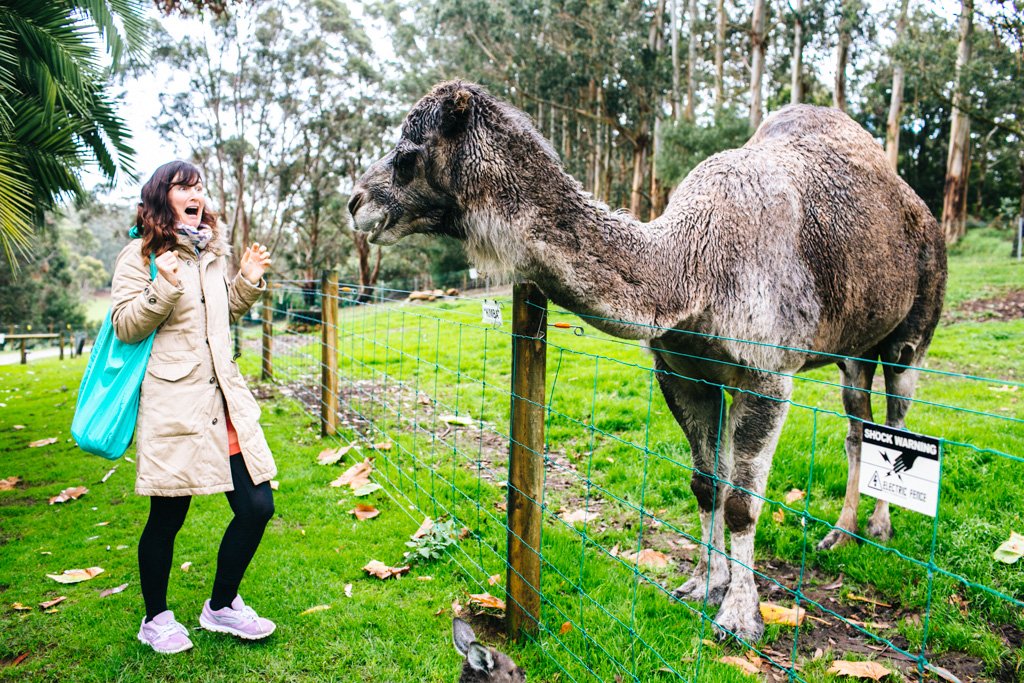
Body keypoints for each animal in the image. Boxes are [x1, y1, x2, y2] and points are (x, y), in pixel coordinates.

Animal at [348, 82, 946, 643]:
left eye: (407, 154)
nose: (354, 201)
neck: (691, 265)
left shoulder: (767, 374)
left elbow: (742, 503)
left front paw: (740, 617)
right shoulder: (681, 372)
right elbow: (708, 485)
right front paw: (704, 585)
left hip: (913, 330)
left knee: (897, 413)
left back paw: (879, 528)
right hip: (851, 352)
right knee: (856, 422)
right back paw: (840, 533)